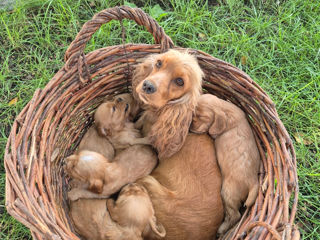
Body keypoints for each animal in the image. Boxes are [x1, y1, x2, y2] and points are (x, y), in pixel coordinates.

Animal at [190, 94, 260, 234]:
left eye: (203, 117)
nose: (190, 126)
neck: (226, 110)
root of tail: (254, 181)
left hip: (228, 193)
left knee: (235, 215)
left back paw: (222, 228)